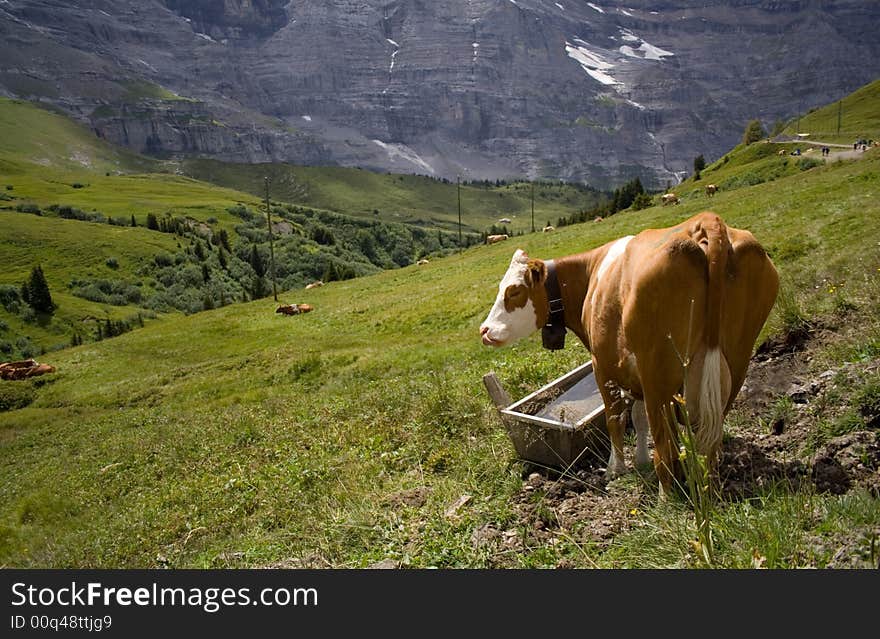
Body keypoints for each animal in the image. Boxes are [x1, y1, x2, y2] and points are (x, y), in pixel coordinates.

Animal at [482, 212, 776, 492]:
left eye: (514, 291)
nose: (484, 330)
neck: (590, 275)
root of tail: (705, 222)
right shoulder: (633, 372)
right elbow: (638, 416)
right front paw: (641, 460)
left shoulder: (603, 366)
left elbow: (616, 418)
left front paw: (617, 468)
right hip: (736, 361)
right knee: (710, 438)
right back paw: (704, 481)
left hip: (658, 374)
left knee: (666, 448)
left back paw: (666, 498)